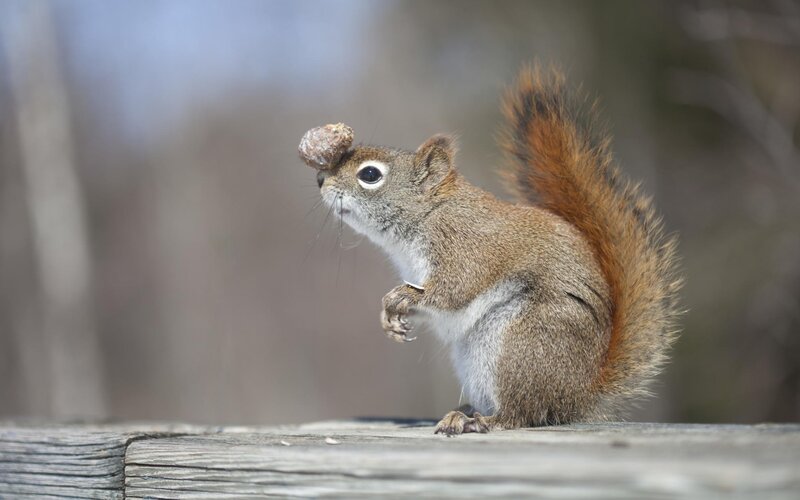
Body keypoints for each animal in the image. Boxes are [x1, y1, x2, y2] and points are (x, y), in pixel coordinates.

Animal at [299, 65, 682, 435]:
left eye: (370, 175)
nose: (321, 181)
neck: (428, 214)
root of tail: (578, 395)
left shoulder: (469, 248)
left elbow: (454, 289)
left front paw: (399, 298)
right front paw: (389, 318)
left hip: (521, 344)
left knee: (522, 414)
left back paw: (483, 421)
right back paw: (466, 412)